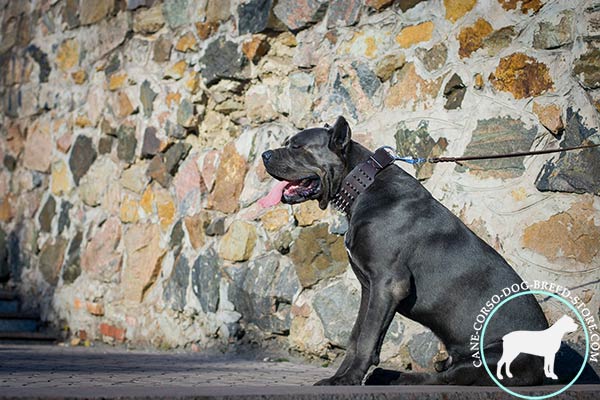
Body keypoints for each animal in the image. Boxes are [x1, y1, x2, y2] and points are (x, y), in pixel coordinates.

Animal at [260, 115, 552, 384]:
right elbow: (357, 335)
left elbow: (366, 338)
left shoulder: (389, 283)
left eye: (297, 147)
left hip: (487, 356)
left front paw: (347, 380)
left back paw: (392, 376)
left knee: (439, 379)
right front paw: (342, 376)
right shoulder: (370, 287)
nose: (264, 154)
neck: (363, 186)